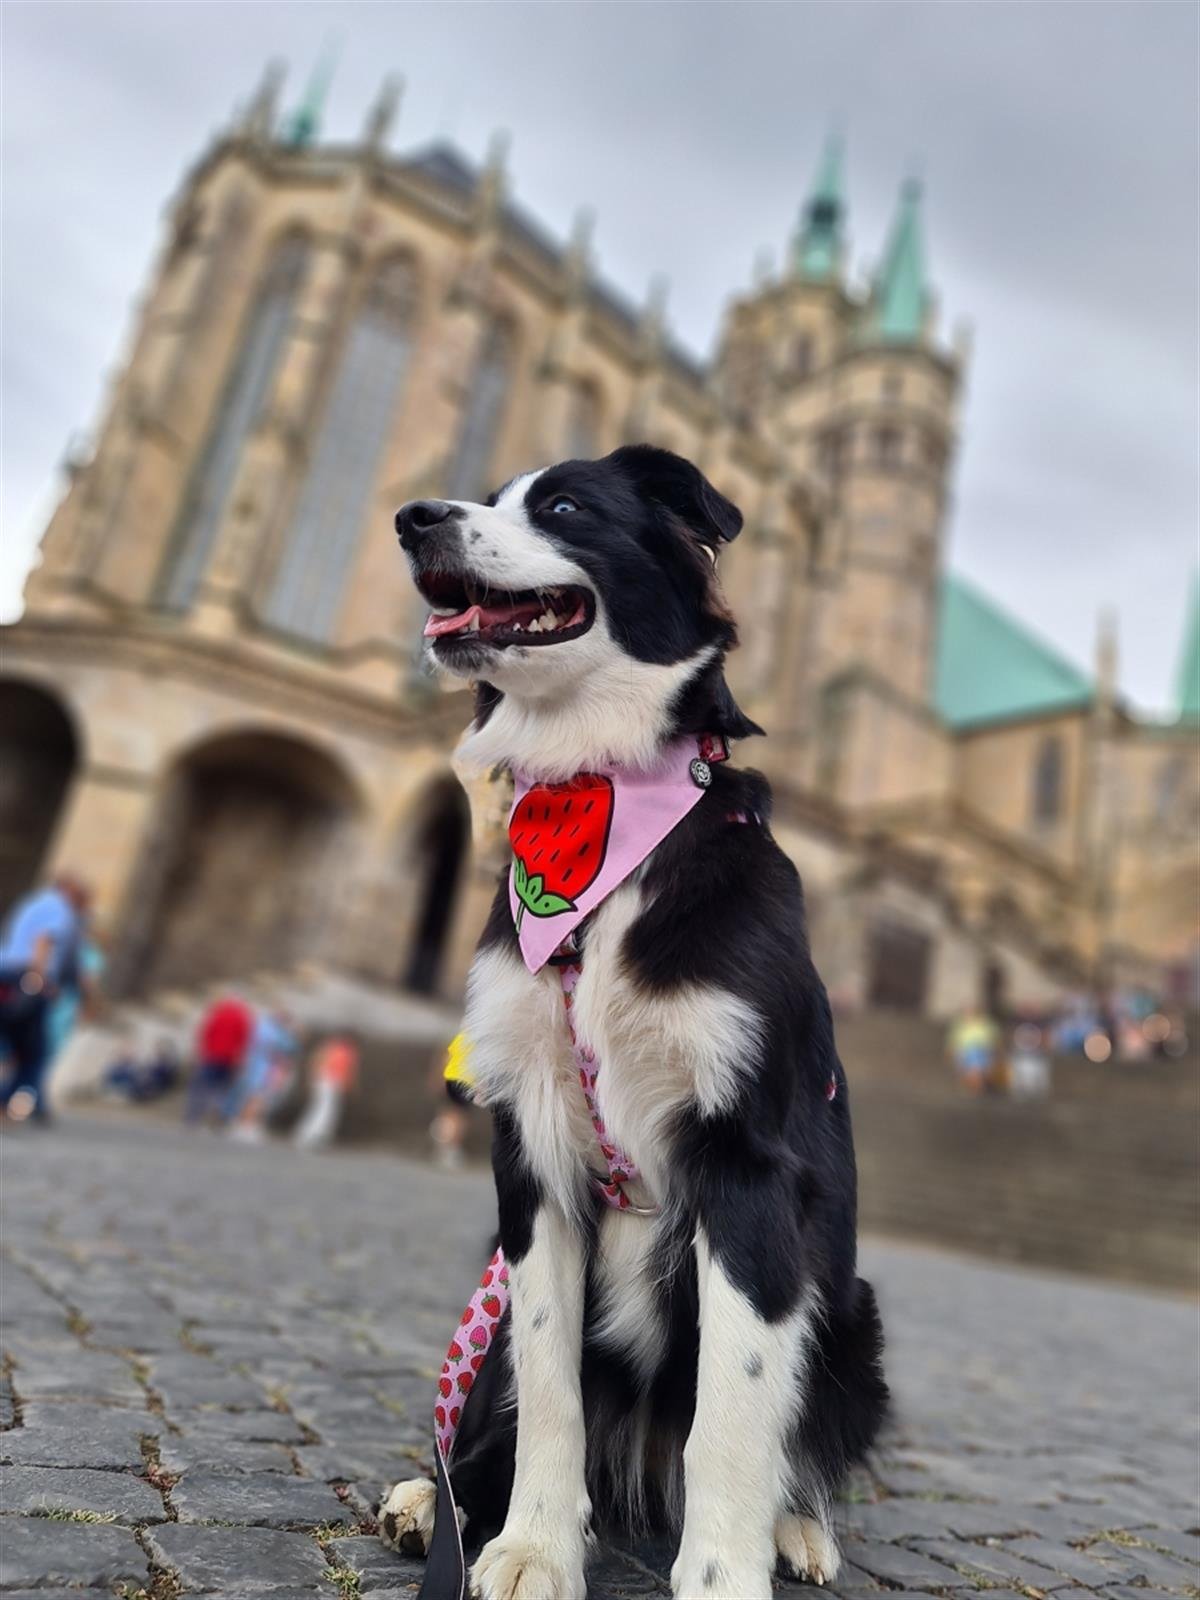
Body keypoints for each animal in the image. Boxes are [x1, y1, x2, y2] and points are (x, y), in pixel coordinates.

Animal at [380, 448, 889, 1600]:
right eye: (485, 495)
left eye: (565, 506)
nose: (415, 517)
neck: (597, 807)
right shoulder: (530, 1153)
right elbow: (549, 1387)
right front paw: (530, 1545)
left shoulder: (745, 1164)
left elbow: (734, 1411)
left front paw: (722, 1573)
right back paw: (439, 1495)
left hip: (849, 1314)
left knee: (791, 1437)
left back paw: (796, 1528)